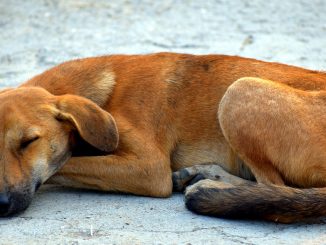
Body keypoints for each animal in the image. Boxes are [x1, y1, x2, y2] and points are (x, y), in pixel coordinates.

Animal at [0, 52, 326, 223]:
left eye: (29, 142)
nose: (1, 204)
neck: (106, 94)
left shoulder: (149, 169)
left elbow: (65, 164)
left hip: (240, 91)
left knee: (277, 187)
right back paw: (207, 176)